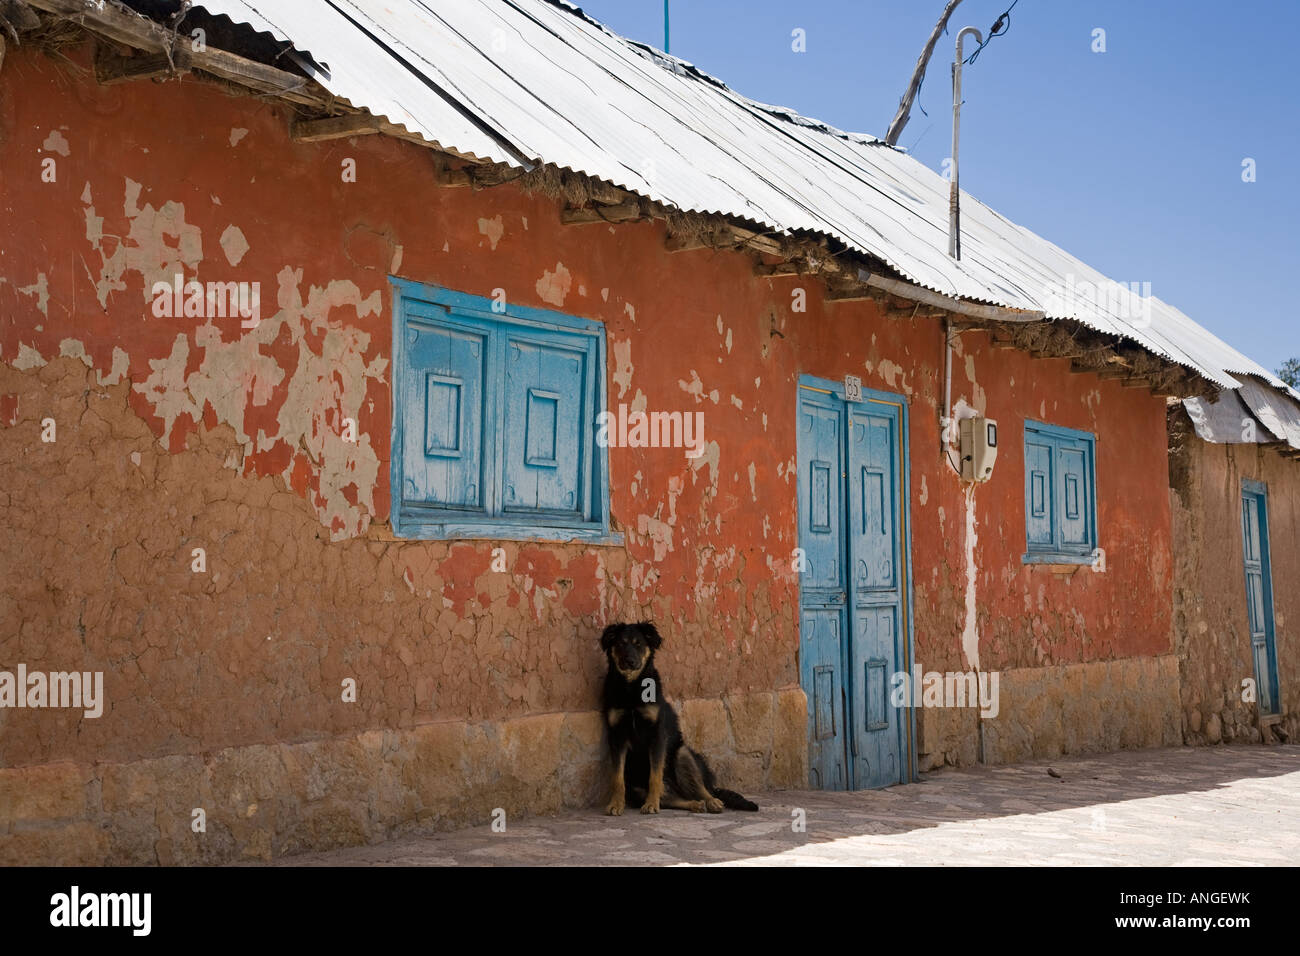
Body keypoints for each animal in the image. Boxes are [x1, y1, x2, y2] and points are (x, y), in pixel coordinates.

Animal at [600, 624, 759, 816]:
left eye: (639, 644)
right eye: (621, 644)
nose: (630, 661)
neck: (631, 688)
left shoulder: (657, 734)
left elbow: (655, 776)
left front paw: (651, 804)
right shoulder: (616, 736)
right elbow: (617, 778)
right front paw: (616, 804)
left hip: (683, 755)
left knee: (701, 790)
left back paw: (712, 802)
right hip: (637, 790)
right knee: (675, 799)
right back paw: (695, 805)